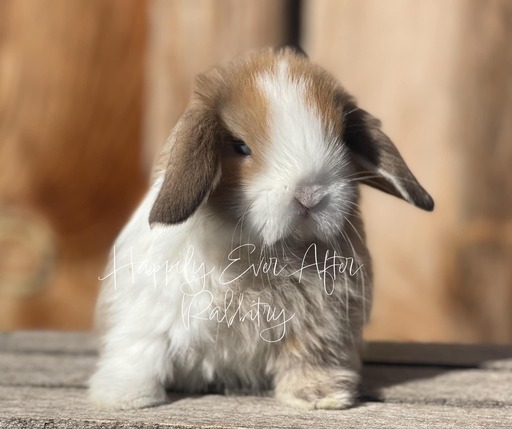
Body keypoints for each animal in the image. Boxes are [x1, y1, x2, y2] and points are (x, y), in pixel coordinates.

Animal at [90, 45, 434, 410]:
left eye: (341, 140)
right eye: (241, 147)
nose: (310, 195)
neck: (259, 248)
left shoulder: (320, 324)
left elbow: (309, 355)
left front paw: (319, 396)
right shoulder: (151, 310)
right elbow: (143, 349)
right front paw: (124, 397)